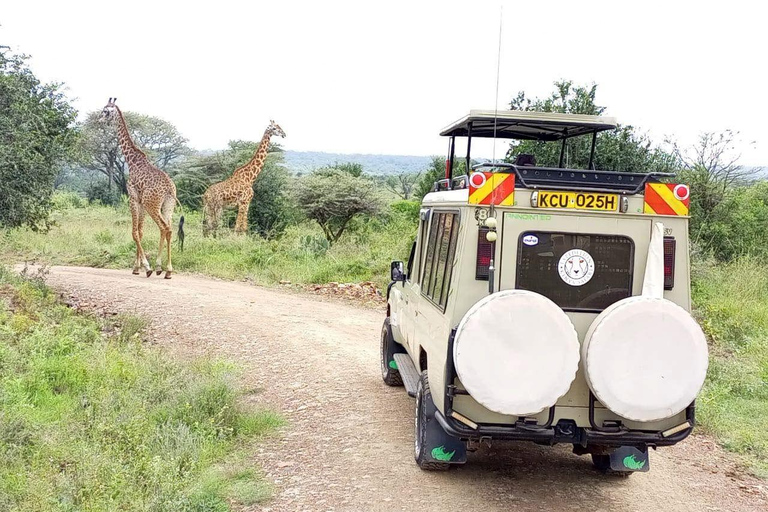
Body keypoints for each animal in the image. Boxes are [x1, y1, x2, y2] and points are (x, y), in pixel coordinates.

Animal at [100, 97, 184, 278]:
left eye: (105, 110)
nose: (99, 119)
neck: (132, 161)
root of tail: (169, 188)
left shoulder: (133, 197)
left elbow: (134, 232)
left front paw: (146, 267)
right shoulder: (140, 201)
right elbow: (141, 231)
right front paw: (137, 267)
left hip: (152, 205)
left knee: (164, 228)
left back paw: (160, 268)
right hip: (167, 206)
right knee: (169, 229)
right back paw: (167, 270)